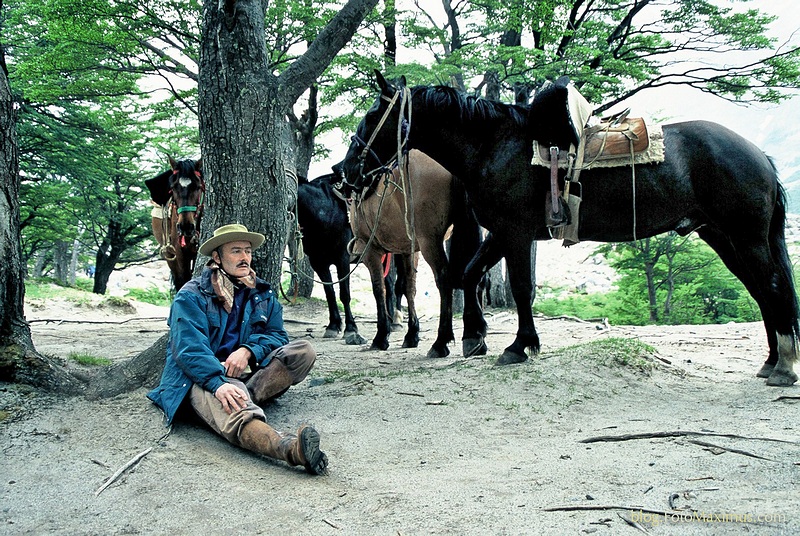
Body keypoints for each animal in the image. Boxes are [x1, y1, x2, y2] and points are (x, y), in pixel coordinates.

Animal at [145, 157, 205, 292]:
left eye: (198, 186)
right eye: (173, 188)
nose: (185, 226)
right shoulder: (179, 254)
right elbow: (183, 280)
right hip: (169, 255)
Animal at [340, 71, 796, 388]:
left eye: (372, 116)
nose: (345, 171)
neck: (494, 145)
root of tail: (759, 154)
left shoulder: (516, 233)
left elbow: (519, 288)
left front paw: (518, 345)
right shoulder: (501, 233)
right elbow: (470, 275)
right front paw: (475, 338)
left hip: (745, 237)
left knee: (771, 286)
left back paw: (785, 365)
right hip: (722, 236)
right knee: (762, 290)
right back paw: (772, 360)